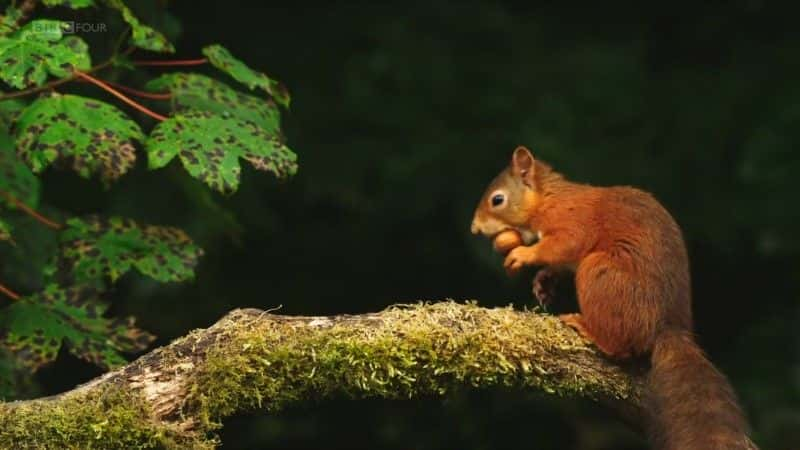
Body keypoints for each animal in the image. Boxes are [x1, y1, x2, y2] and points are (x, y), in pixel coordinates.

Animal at [468, 148, 756, 450]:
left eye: (497, 199)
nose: (474, 228)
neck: (548, 199)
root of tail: (666, 326)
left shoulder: (571, 221)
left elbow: (564, 244)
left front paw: (523, 255)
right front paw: (543, 281)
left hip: (600, 272)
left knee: (620, 348)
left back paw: (587, 328)